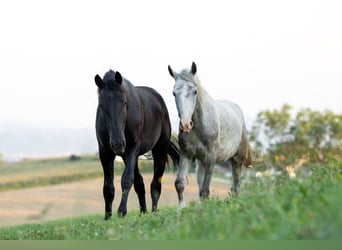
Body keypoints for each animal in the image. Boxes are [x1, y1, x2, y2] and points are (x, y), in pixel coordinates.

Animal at [93, 69, 179, 218]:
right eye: (101, 106)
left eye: (124, 103)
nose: (117, 144)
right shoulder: (105, 153)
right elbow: (108, 187)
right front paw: (107, 217)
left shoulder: (133, 148)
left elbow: (127, 179)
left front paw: (121, 211)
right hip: (126, 155)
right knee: (140, 183)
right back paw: (143, 212)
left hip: (159, 150)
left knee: (155, 184)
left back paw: (154, 212)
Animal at [167, 61, 252, 208]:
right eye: (174, 93)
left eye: (194, 91)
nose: (185, 125)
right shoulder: (187, 156)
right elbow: (179, 184)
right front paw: (181, 208)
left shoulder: (210, 159)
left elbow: (205, 191)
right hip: (200, 162)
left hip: (236, 160)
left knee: (235, 186)